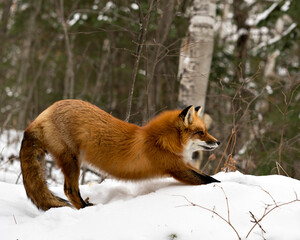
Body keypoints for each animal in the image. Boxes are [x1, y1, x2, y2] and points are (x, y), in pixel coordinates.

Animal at [19, 99, 220, 210]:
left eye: (206, 131)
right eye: (201, 132)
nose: (218, 142)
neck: (160, 141)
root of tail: (43, 114)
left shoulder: (184, 165)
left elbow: (208, 177)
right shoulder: (176, 167)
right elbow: (210, 180)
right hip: (72, 161)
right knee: (69, 190)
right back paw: (85, 209)